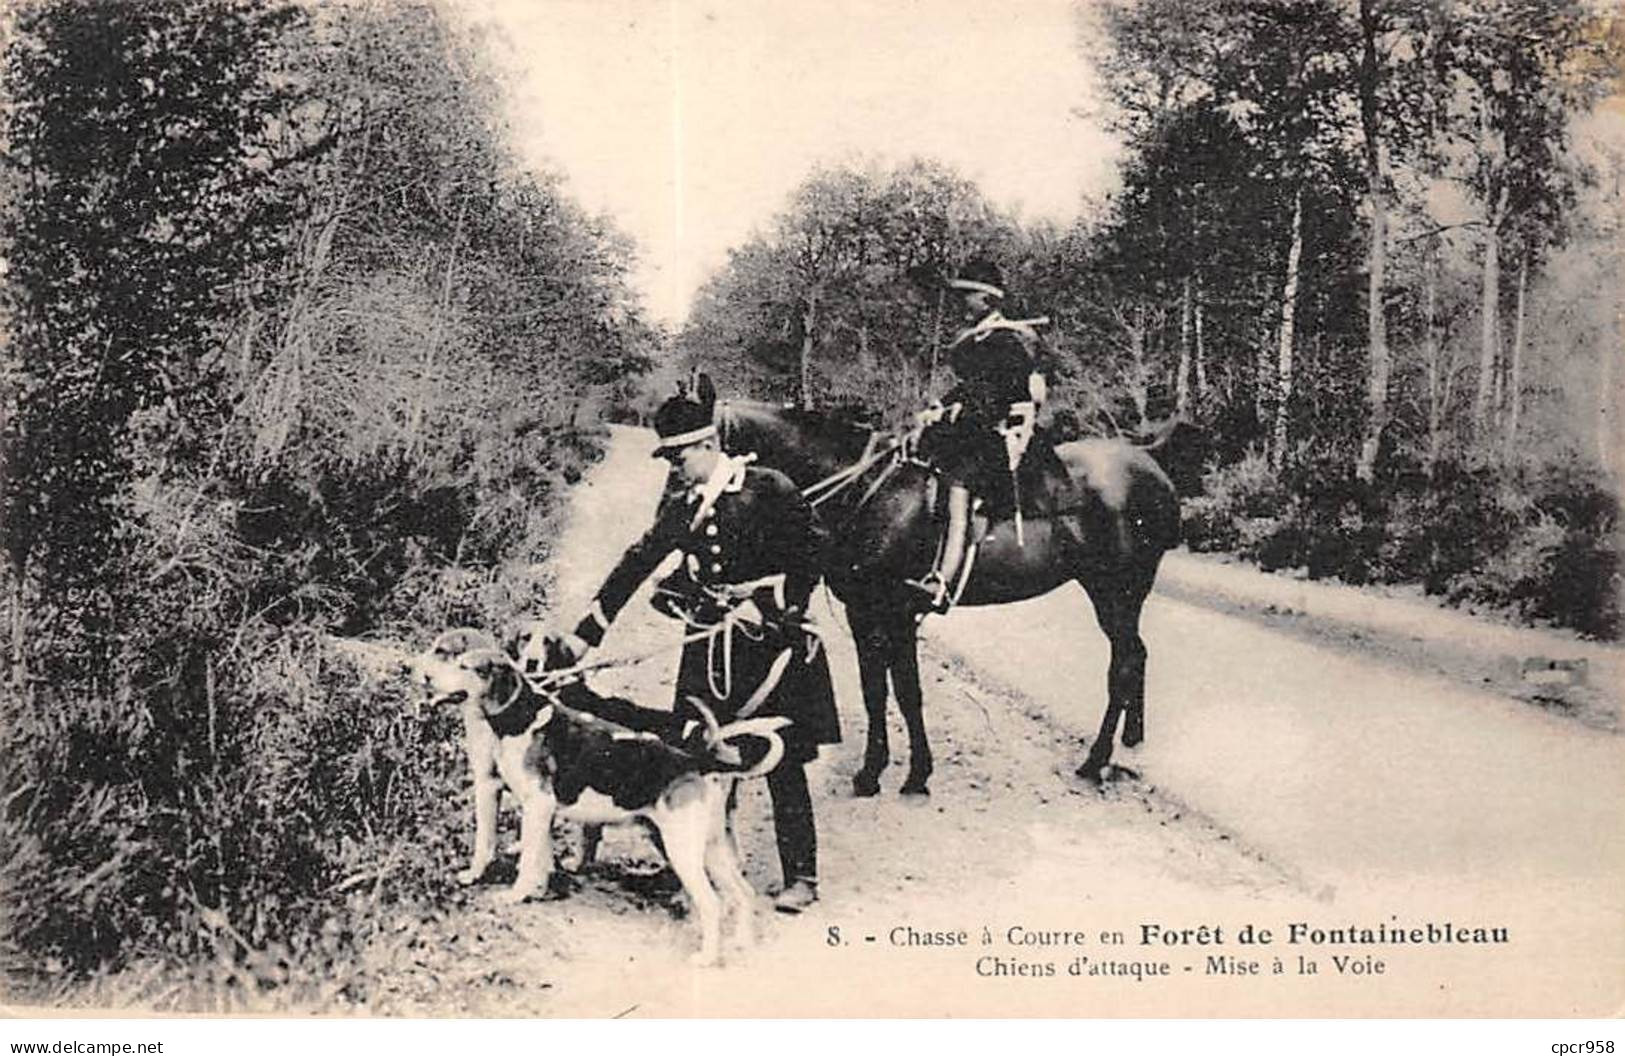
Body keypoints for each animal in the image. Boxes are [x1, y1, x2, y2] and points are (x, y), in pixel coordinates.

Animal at [672, 373, 1183, 786]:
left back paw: (1096, 760)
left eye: (693, 456)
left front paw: (893, 773)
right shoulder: (873, 615)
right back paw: (1131, 737)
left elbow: (897, 692)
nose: (680, 526)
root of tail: (1151, 464)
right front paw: (896, 769)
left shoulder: (887, 614)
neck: (866, 489)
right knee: (1136, 655)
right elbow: (888, 691)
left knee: (1123, 663)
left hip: (1116, 591)